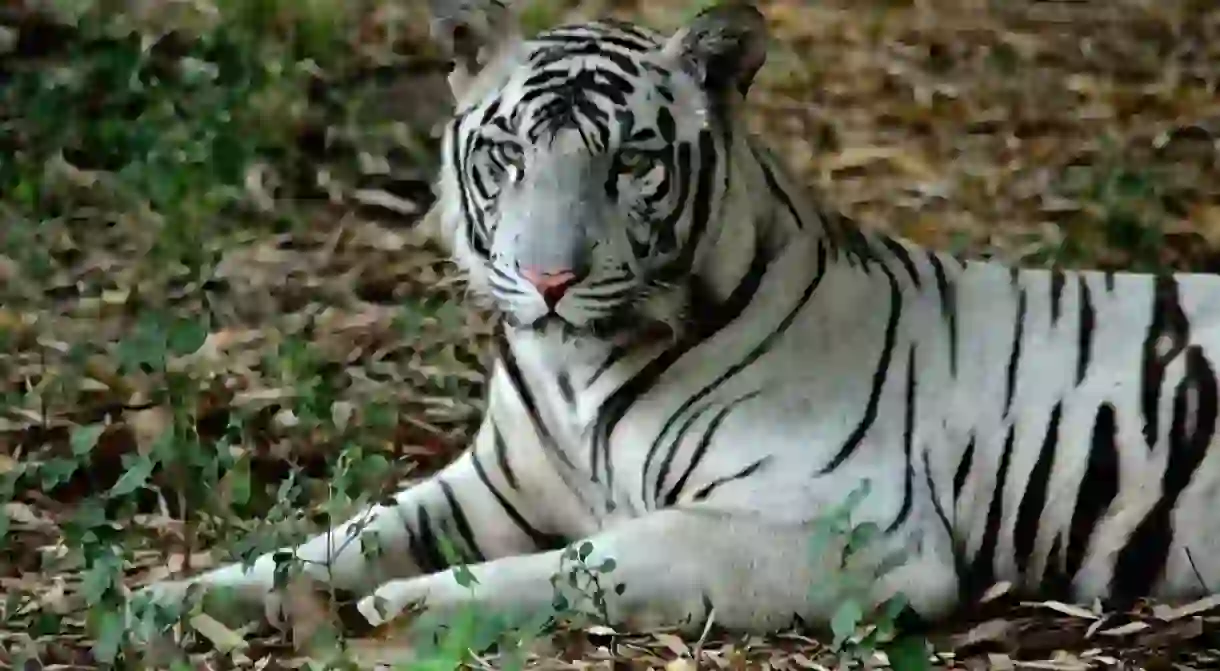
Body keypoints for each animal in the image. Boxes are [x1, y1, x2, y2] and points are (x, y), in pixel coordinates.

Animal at [138, 0, 1220, 634]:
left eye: (631, 161)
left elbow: (591, 562)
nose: (549, 279)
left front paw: (406, 606)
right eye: (508, 155)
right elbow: (331, 539)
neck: (574, 371)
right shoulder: (488, 488)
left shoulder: (839, 521)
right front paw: (165, 597)